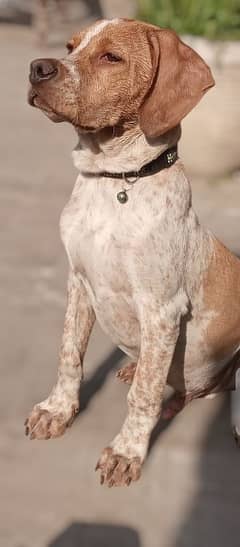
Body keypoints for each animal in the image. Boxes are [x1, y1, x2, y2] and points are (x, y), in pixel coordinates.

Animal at [24, 18, 240, 488]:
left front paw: (126, 452)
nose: (36, 69)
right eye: (70, 46)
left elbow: (143, 396)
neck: (115, 183)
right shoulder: (78, 282)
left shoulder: (161, 309)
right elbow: (69, 355)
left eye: (111, 57)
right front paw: (57, 411)